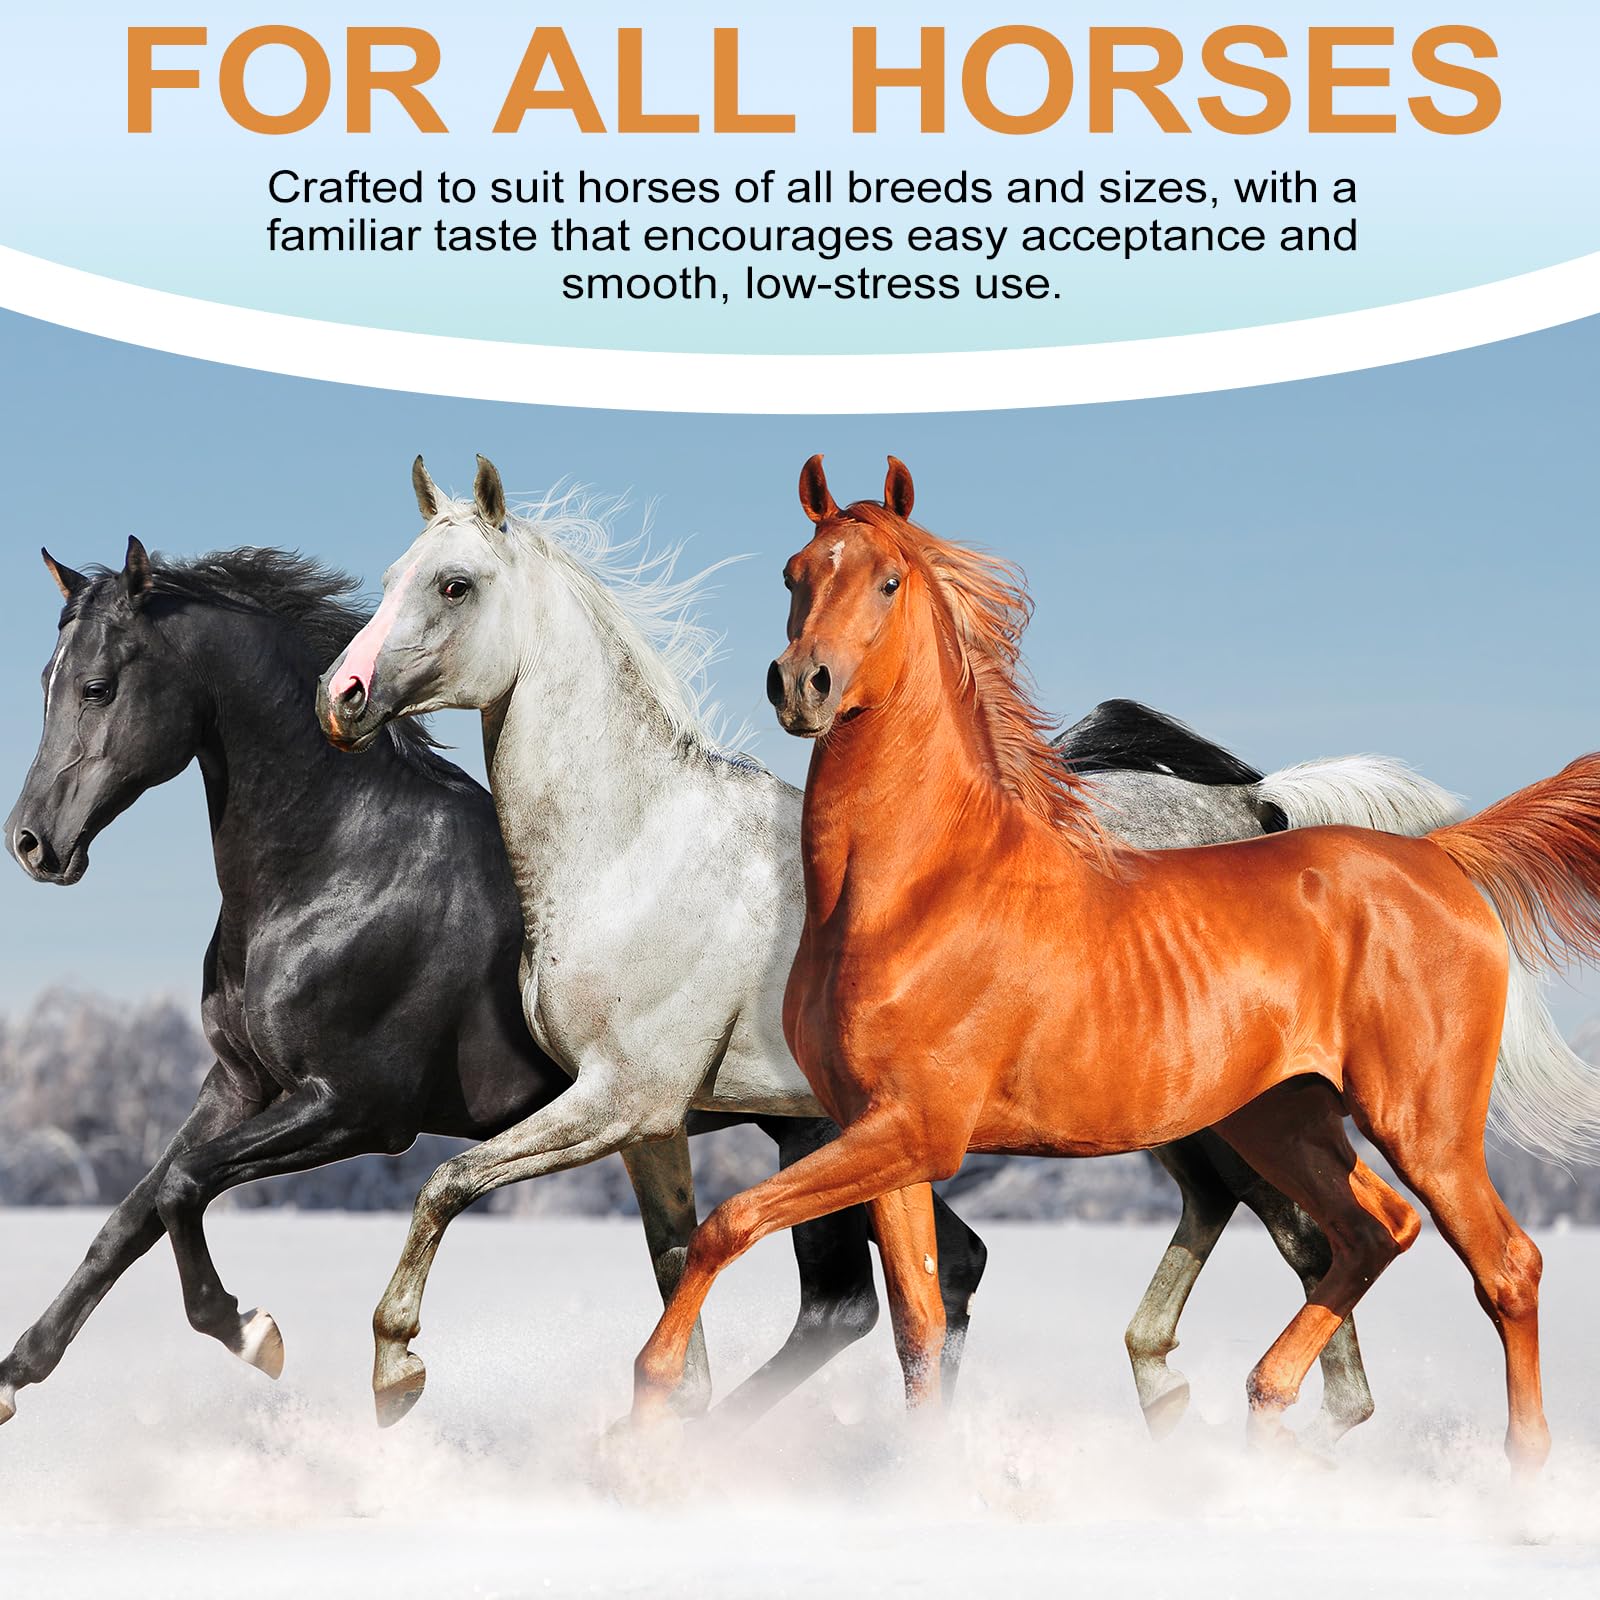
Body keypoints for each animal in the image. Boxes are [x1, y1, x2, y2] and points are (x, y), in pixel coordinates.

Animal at [0, 539, 990, 1430]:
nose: (34, 843)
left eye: (98, 686)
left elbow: (184, 1186)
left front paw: (256, 1333)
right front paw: (16, 1376)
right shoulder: (240, 1084)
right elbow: (132, 1215)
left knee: (863, 1296)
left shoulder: (355, 1109)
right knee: (933, 1273)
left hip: (812, 1126)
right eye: (47, 678)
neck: (336, 865)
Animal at [316, 454, 1459, 1444]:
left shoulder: (621, 1099)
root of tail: (1252, 807)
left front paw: (396, 1372)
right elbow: (676, 1273)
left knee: (1306, 1235)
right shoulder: (652, 1126)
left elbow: (445, 1182)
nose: (341, 697)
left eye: (454, 583)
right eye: (392, 575)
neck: (636, 841)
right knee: (1266, 1223)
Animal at [630, 454, 1600, 1476]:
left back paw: (1516, 1471)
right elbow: (918, 1330)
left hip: (1423, 1123)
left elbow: (725, 1224)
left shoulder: (915, 1131)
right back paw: (1263, 1407)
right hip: (1284, 1117)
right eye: (794, 573)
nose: (801, 684)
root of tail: (1438, 857)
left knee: (1504, 1265)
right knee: (1369, 1232)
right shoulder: (877, 1134)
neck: (916, 888)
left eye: (888, 581)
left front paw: (645, 1408)